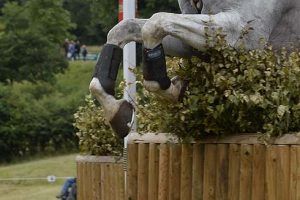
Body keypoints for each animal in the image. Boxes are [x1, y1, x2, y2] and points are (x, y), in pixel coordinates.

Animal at [89, 0, 300, 138]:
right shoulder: (192, 41)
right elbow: (126, 28)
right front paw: (118, 113)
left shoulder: (241, 32)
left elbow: (154, 23)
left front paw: (168, 87)